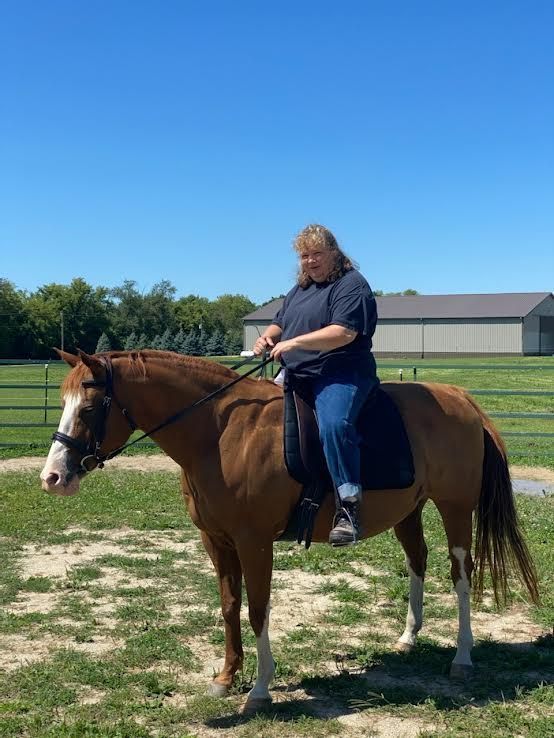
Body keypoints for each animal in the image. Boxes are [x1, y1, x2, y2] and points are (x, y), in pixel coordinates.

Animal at [40, 349, 539, 712]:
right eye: (62, 404)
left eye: (89, 406)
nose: (53, 478)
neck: (220, 433)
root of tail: (461, 398)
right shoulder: (216, 541)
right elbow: (229, 606)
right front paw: (226, 677)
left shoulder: (254, 541)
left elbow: (258, 609)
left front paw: (260, 688)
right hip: (409, 512)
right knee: (418, 561)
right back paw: (408, 637)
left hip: (455, 509)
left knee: (461, 576)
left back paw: (462, 657)